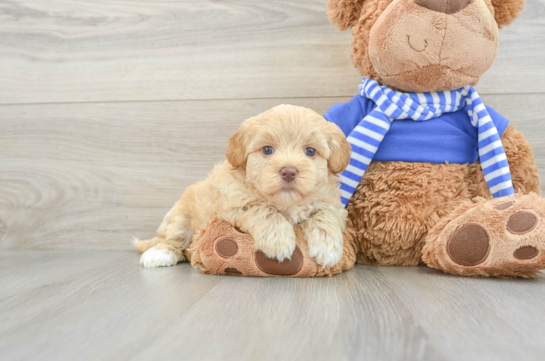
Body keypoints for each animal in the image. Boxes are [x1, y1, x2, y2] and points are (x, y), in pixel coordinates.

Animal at [134, 104, 350, 268]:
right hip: (181, 215)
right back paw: (159, 254)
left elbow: (325, 214)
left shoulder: (332, 204)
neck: (286, 202)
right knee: (173, 238)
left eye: (311, 151)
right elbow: (264, 210)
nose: (288, 171)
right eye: (267, 149)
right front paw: (278, 240)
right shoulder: (235, 201)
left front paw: (328, 247)